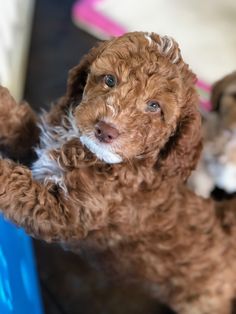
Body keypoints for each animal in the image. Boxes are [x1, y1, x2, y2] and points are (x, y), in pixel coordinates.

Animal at [0, 32, 236, 314]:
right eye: (110, 80)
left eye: (154, 106)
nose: (105, 130)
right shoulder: (44, 142)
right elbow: (21, 126)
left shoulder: (65, 213)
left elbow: (21, 189)